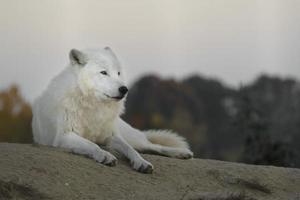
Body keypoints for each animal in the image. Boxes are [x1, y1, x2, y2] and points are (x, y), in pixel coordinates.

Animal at [32, 47, 192, 173]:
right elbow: (92, 144)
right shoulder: (64, 136)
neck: (94, 105)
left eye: (118, 73)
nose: (124, 89)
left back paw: (182, 153)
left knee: (152, 146)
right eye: (104, 72)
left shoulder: (111, 136)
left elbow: (129, 149)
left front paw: (141, 162)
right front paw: (105, 155)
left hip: (132, 137)